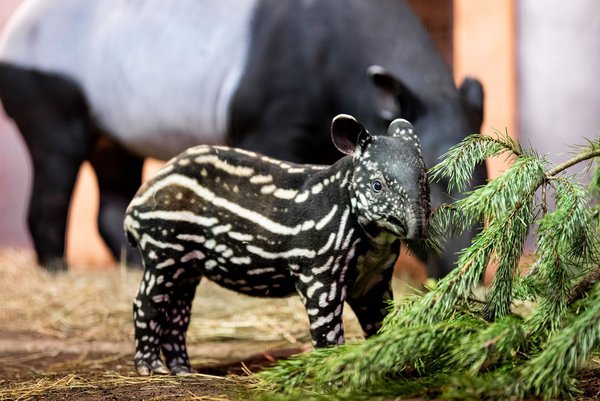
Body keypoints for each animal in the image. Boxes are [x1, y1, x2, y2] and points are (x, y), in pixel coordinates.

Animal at [124, 115, 428, 376]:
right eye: (377, 185)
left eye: (425, 179)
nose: (419, 231)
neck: (372, 239)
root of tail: (138, 199)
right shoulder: (318, 273)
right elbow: (327, 330)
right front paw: (332, 369)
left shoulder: (373, 279)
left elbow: (380, 321)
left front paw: (387, 362)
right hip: (163, 248)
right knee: (147, 303)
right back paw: (151, 368)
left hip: (188, 264)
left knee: (177, 312)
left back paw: (183, 370)